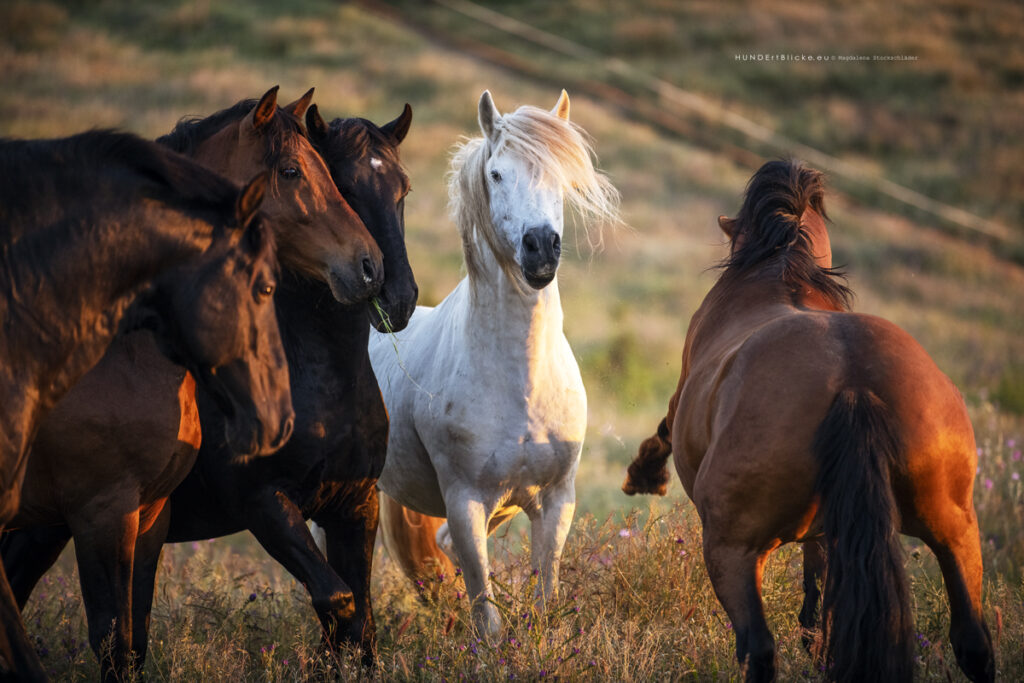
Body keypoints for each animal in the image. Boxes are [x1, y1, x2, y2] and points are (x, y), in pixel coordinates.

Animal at [2, 87, 378, 679]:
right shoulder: (102, 514)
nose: (368, 265)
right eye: (292, 170)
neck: (123, 354)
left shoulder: (149, 514)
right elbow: (111, 637)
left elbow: (132, 639)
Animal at [372, 90, 618, 634]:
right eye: (498, 174)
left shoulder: (555, 501)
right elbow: (486, 617)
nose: (541, 247)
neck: (521, 383)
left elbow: (544, 597)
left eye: (560, 177)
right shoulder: (465, 504)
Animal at [622, 161, 991, 683]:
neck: (780, 275)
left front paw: (643, 476)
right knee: (972, 642)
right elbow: (816, 602)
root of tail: (853, 384)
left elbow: (662, 432)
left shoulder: (679, 399)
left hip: (731, 549)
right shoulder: (830, 534)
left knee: (758, 649)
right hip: (954, 530)